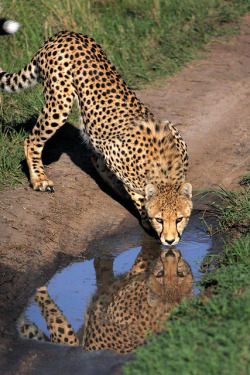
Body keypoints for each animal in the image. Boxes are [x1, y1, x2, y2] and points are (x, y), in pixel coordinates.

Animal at [0, 30, 192, 245]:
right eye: (160, 219)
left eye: (179, 219)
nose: (170, 241)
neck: (165, 169)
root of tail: (64, 33)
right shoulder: (116, 156)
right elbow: (138, 196)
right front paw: (145, 219)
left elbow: (101, 163)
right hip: (59, 102)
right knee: (31, 140)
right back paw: (39, 180)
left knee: (94, 158)